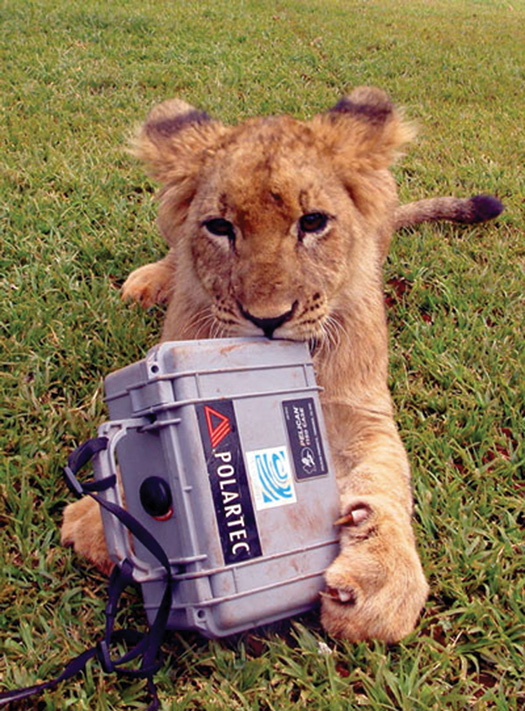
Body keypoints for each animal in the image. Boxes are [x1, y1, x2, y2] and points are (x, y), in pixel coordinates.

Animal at [61, 87, 503, 642]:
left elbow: (387, 477)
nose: (267, 320)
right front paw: (100, 523)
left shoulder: (363, 409)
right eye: (220, 227)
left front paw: (381, 580)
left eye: (312, 222)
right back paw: (150, 279)